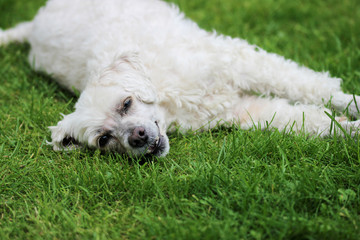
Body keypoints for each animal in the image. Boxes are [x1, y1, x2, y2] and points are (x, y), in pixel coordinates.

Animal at [0, 0, 360, 158]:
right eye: (104, 139)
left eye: (126, 103)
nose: (138, 138)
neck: (168, 97)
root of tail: (33, 26)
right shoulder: (245, 109)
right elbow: (310, 120)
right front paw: (350, 128)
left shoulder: (242, 63)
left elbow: (313, 86)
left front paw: (352, 104)